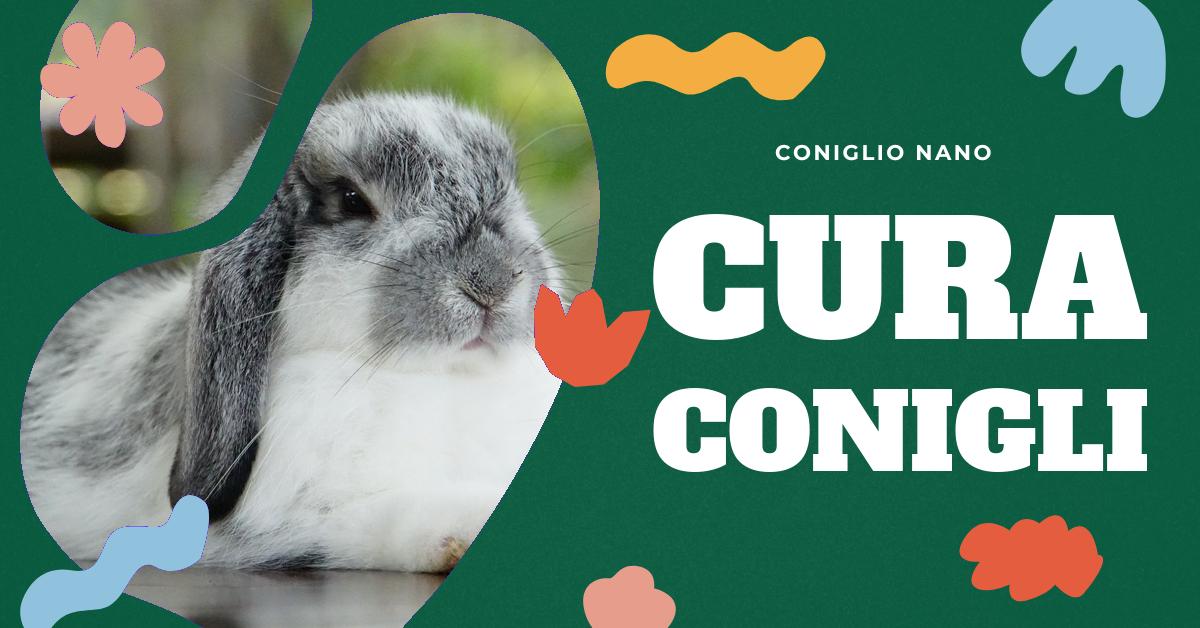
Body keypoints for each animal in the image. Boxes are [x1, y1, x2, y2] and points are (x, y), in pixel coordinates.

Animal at [20, 93, 573, 572]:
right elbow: (383, 518)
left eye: (510, 187)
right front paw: (474, 516)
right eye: (351, 200)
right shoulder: (293, 524)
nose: (491, 283)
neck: (441, 380)